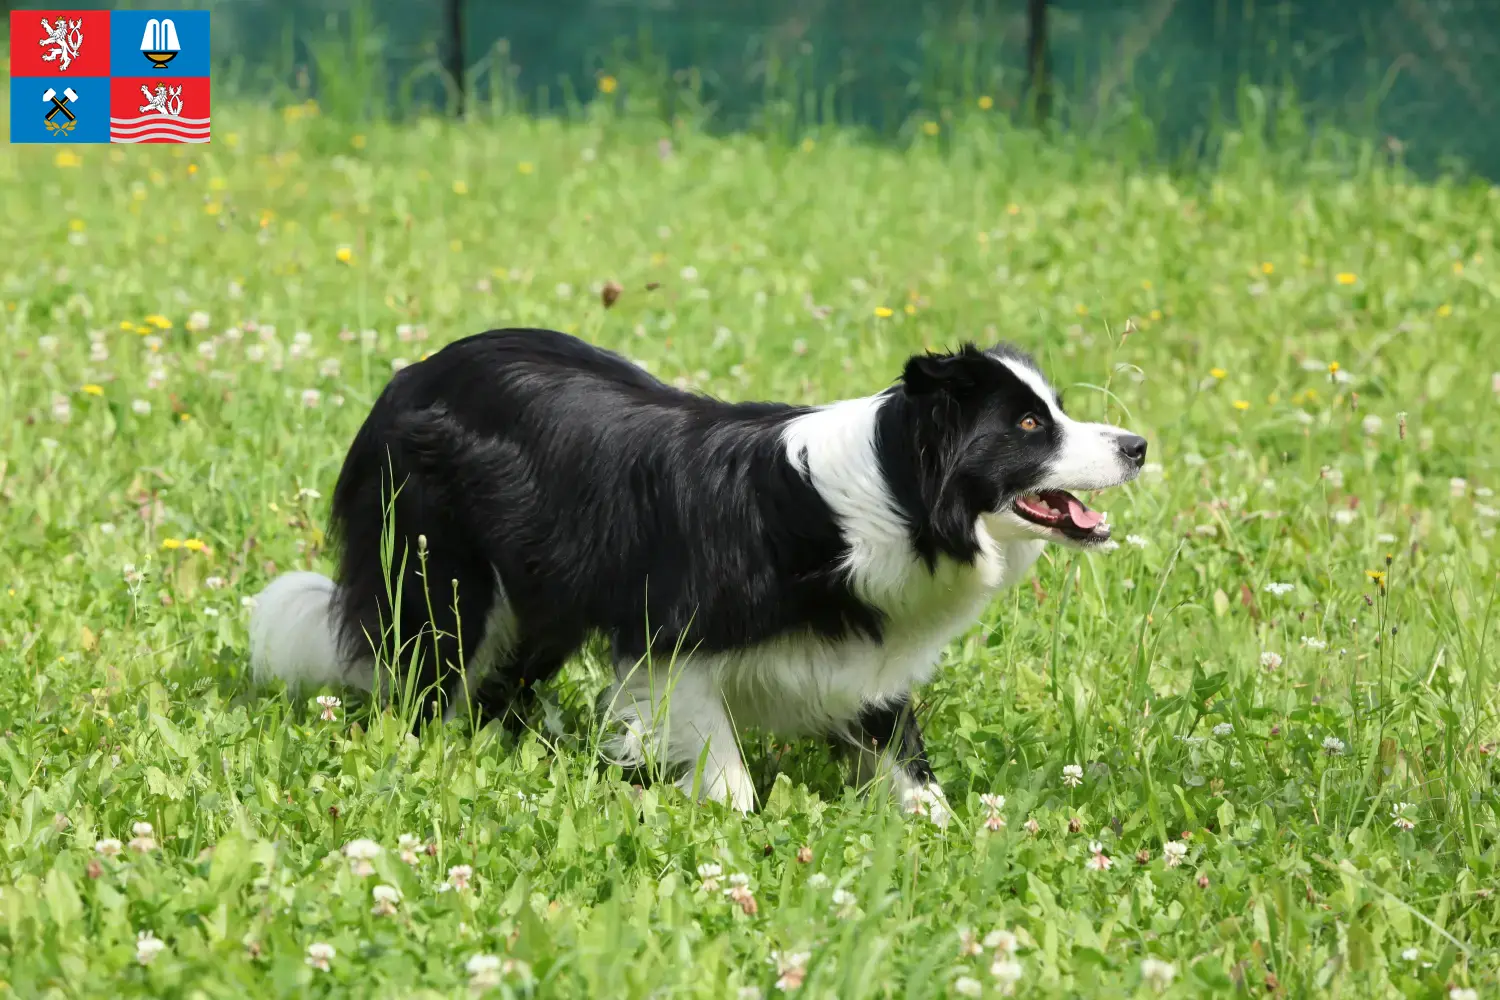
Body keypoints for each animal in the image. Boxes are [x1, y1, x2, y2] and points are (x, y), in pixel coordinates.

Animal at [249, 328, 1146, 821]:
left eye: (1056, 411)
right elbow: (727, 773)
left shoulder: (868, 654)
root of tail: (408, 375)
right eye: (1028, 426)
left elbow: (903, 752)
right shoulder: (671, 641)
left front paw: (942, 824)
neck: (895, 495)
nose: (1138, 445)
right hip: (446, 574)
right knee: (429, 673)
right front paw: (727, 821)